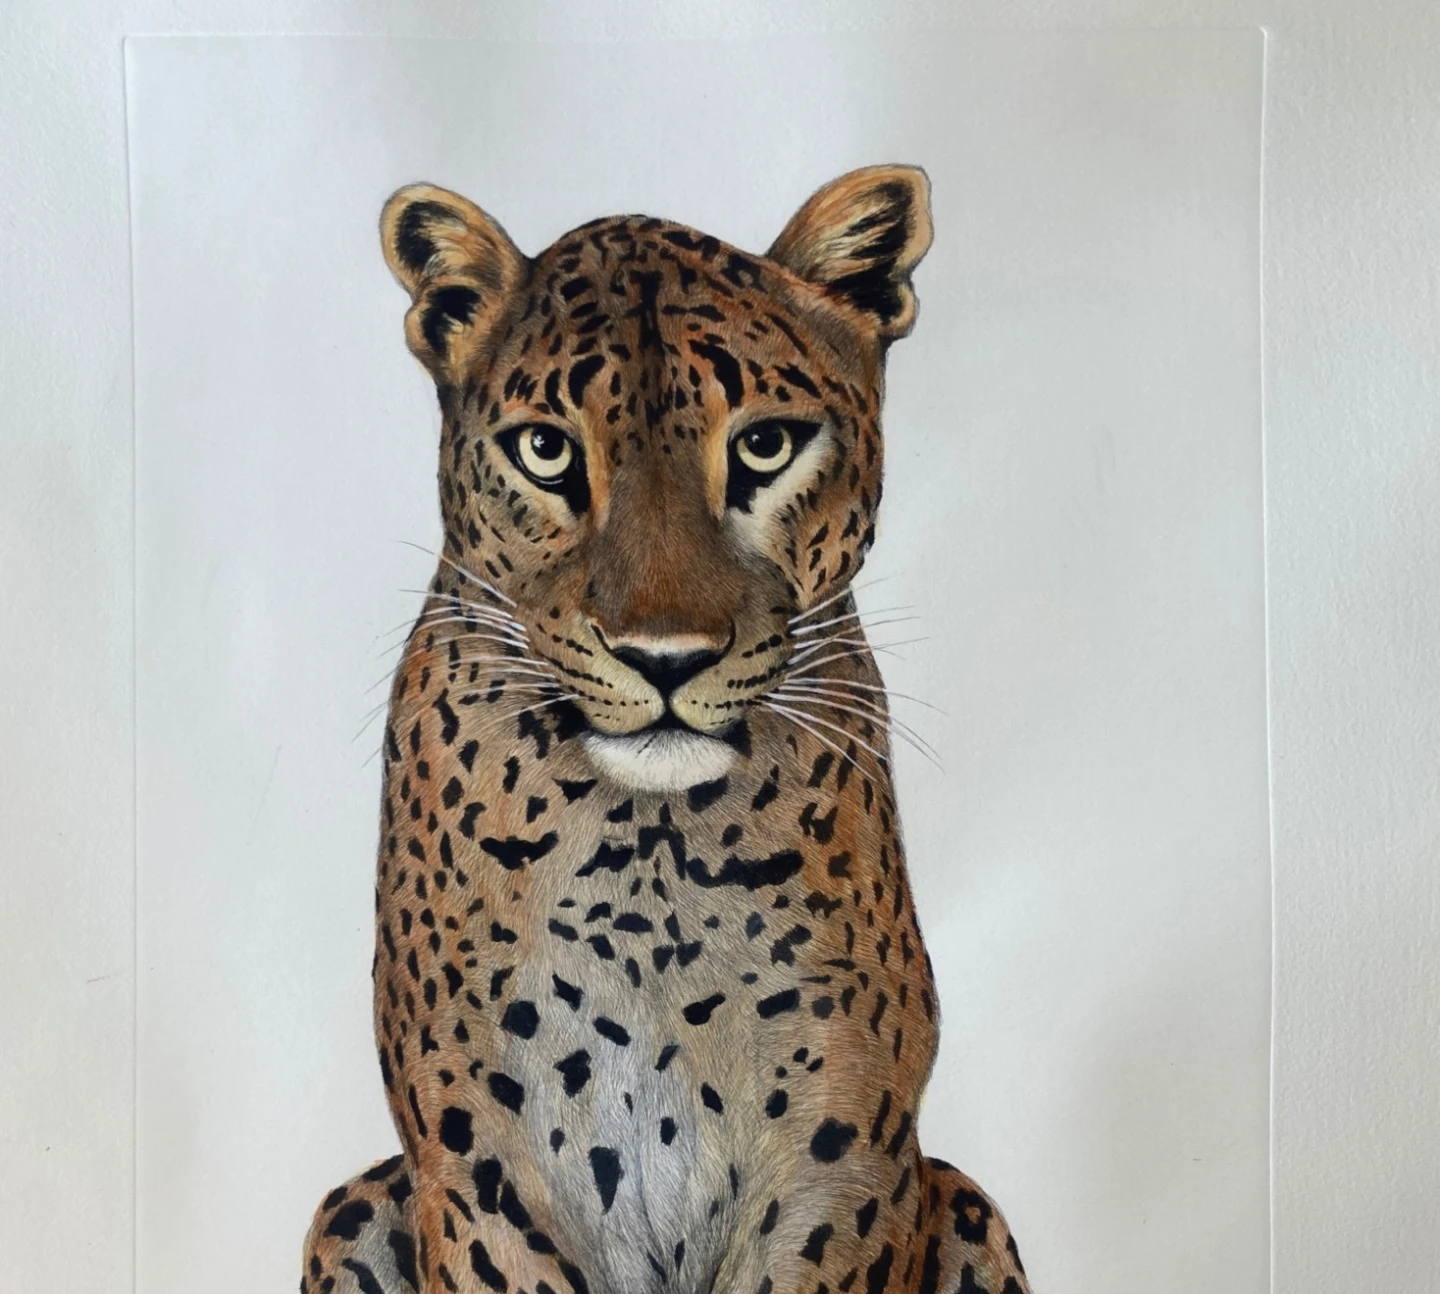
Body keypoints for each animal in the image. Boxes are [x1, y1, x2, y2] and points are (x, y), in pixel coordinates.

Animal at [301, 165, 1032, 1294]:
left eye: (765, 445)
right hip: (355, 1205)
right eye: (546, 450)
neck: (645, 867)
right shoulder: (479, 1167)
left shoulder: (842, 1154)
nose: (665, 656)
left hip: (964, 1200)